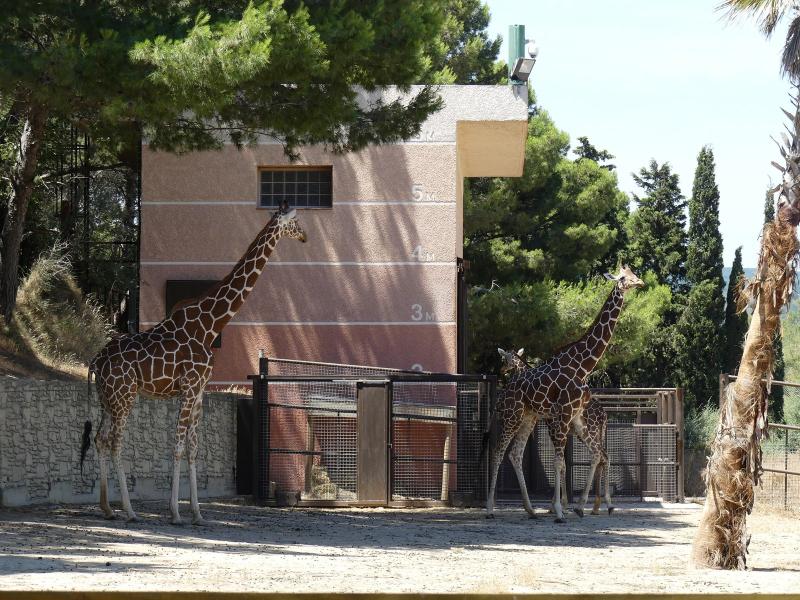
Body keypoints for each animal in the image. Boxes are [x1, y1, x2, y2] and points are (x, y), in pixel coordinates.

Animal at [84, 204, 307, 524]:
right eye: (296, 221)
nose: (305, 236)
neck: (210, 325)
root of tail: (96, 360)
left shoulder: (200, 390)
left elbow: (193, 447)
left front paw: (198, 513)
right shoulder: (189, 387)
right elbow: (177, 445)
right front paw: (176, 512)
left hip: (107, 398)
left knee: (101, 439)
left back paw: (107, 508)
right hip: (124, 396)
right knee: (115, 441)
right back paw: (129, 510)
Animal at [497, 347, 613, 516]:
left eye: (505, 359)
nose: (502, 370)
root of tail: (603, 414)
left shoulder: (553, 428)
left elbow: (561, 463)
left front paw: (557, 505)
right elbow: (562, 463)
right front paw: (559, 505)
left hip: (590, 431)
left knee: (601, 456)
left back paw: (598, 505)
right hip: (596, 433)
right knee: (603, 456)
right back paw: (599, 506)